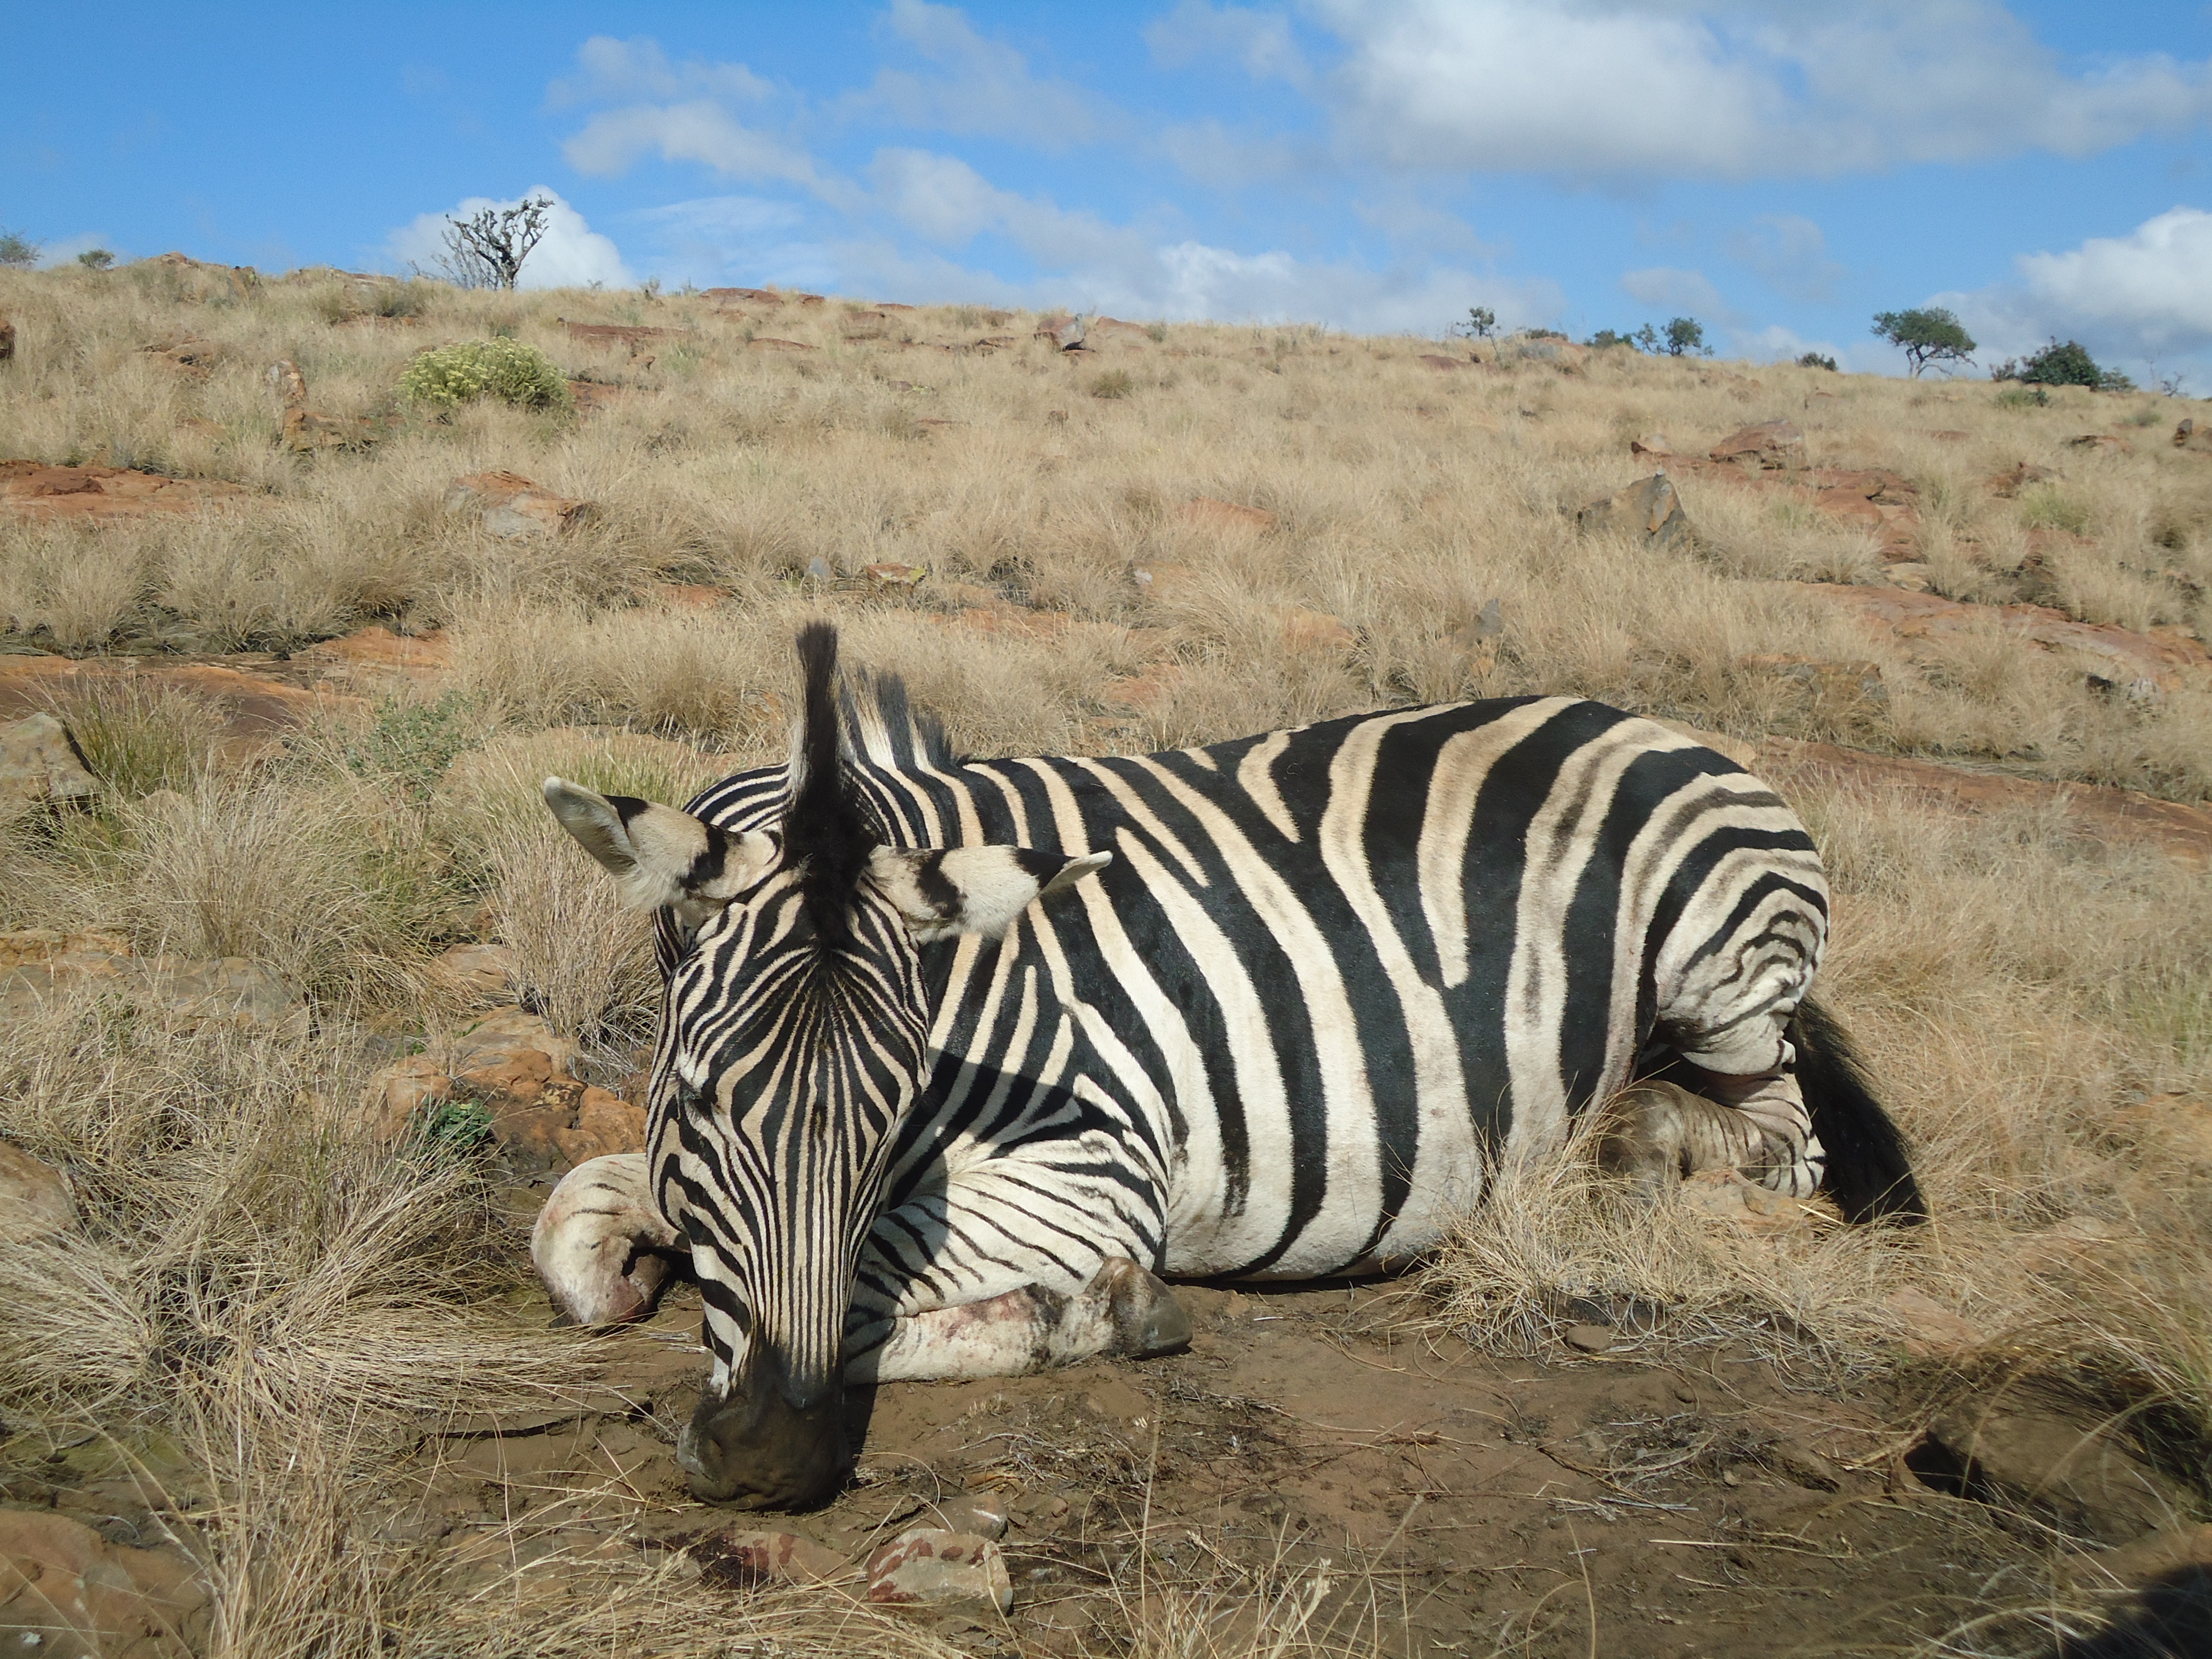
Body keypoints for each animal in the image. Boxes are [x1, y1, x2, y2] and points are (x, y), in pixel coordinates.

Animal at [530, 622, 1921, 1510]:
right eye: (700, 1097)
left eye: (895, 1108)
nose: (773, 1466)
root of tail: (1644, 717)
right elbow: (572, 1222)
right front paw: (627, 1258)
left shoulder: (1094, 1169)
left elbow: (876, 1283)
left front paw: (1091, 1313)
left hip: (1723, 971)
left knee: (1787, 1130)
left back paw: (1630, 1156)